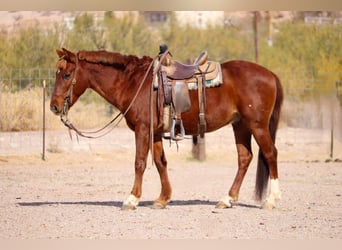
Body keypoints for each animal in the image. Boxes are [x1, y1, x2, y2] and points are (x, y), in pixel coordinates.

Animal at [48, 47, 284, 210]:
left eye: (66, 75)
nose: (54, 106)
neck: (134, 83)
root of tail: (271, 74)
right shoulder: (155, 133)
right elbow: (161, 162)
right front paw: (163, 199)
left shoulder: (142, 129)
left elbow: (140, 162)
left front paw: (132, 199)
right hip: (240, 125)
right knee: (245, 158)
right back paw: (227, 199)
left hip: (257, 125)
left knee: (270, 154)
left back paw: (271, 200)